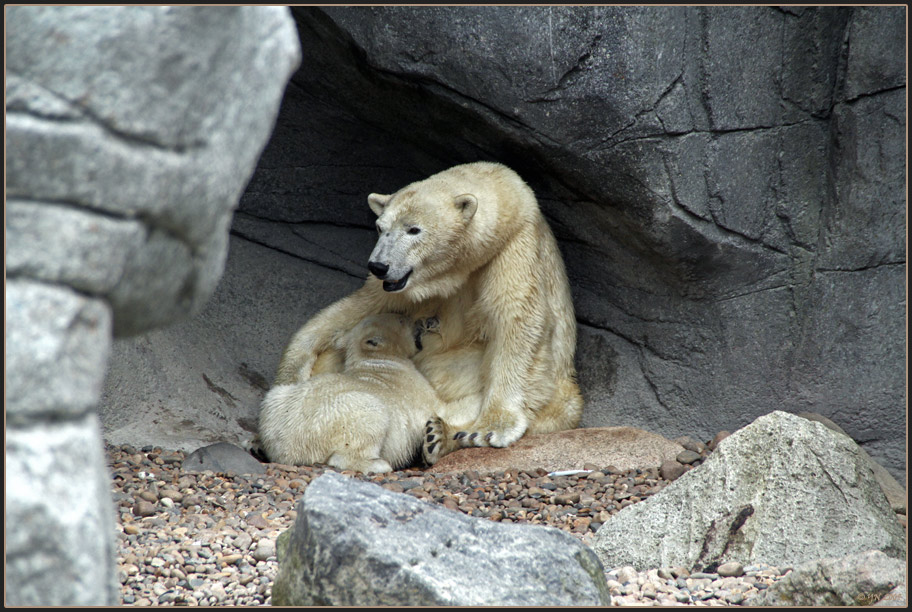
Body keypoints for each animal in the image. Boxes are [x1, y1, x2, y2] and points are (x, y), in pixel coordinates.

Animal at [272, 163, 584, 464]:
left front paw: (490, 428)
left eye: (414, 230)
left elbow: (518, 321)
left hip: (561, 393)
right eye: (380, 227)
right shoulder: (402, 285)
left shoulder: (515, 248)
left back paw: (441, 435)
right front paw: (290, 371)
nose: (378, 265)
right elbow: (362, 306)